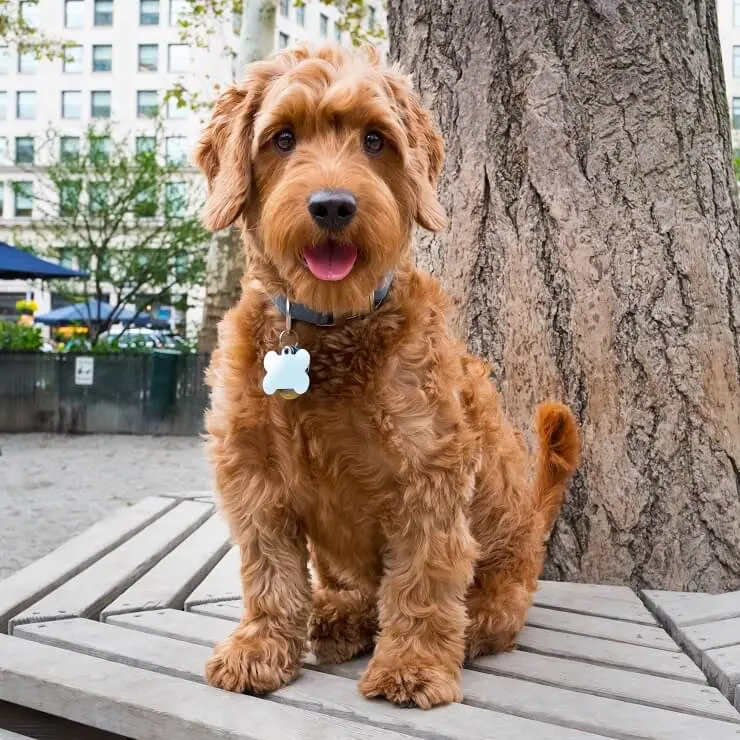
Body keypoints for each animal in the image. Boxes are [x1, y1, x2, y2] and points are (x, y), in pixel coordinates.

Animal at [199, 42, 580, 712]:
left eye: (375, 139)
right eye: (282, 137)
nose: (332, 205)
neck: (328, 334)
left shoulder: (429, 475)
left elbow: (422, 581)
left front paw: (413, 666)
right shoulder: (253, 477)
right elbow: (269, 574)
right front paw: (259, 648)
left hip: (500, 583)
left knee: (471, 613)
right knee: (348, 592)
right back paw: (337, 617)